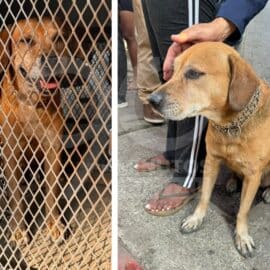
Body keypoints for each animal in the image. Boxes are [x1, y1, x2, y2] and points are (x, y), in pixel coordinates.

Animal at [0, 17, 73, 246]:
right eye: (26, 40)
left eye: (57, 38)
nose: (52, 60)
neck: (32, 103)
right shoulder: (11, 152)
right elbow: (16, 195)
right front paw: (18, 229)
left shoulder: (53, 147)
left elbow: (51, 191)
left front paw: (53, 224)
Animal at [149, 42, 270, 258]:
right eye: (173, 69)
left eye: (193, 73)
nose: (151, 100)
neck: (230, 125)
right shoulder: (212, 162)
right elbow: (204, 195)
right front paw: (196, 218)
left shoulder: (253, 175)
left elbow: (243, 211)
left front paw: (242, 236)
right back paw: (232, 182)